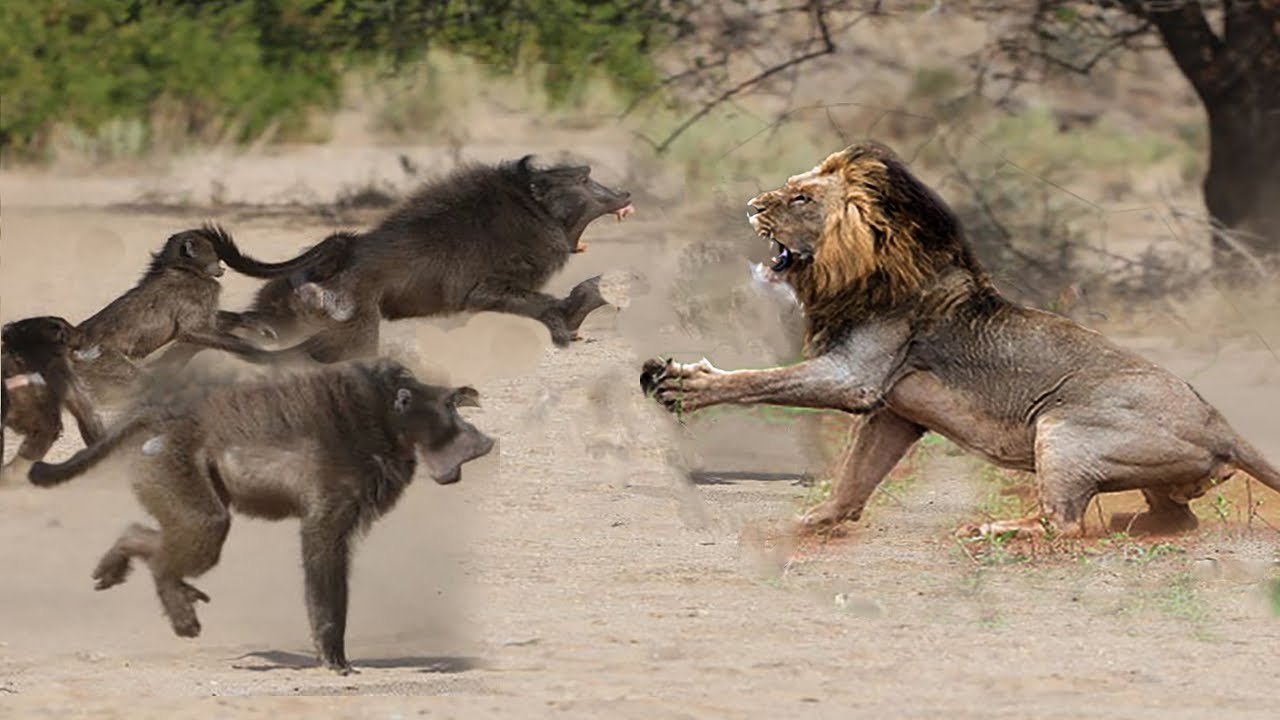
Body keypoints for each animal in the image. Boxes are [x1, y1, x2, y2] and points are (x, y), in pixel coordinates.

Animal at [640, 141, 1280, 538]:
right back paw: (1131, 526)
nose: (751, 206)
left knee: (1063, 522)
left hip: (1063, 429)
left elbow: (758, 380)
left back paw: (990, 528)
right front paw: (814, 522)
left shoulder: (855, 377)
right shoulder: (895, 410)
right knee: (1176, 523)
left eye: (801, 198)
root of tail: (1221, 424)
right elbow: (854, 477)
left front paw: (681, 384)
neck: (861, 270)